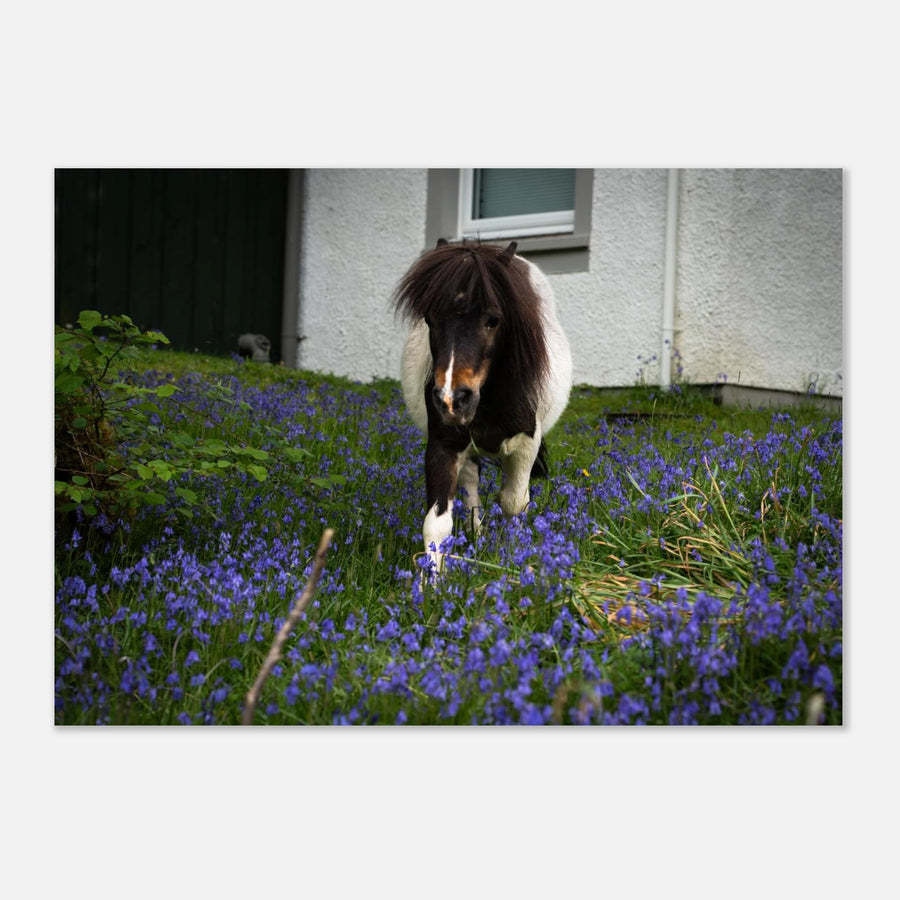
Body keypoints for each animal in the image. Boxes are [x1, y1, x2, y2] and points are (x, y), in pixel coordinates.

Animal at [394, 238, 573, 570]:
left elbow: (514, 503)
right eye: (429, 319)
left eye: (493, 320)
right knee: (471, 490)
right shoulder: (444, 444)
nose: (452, 399)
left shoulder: (526, 445)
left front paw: (513, 553)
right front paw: (432, 582)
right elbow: (437, 524)